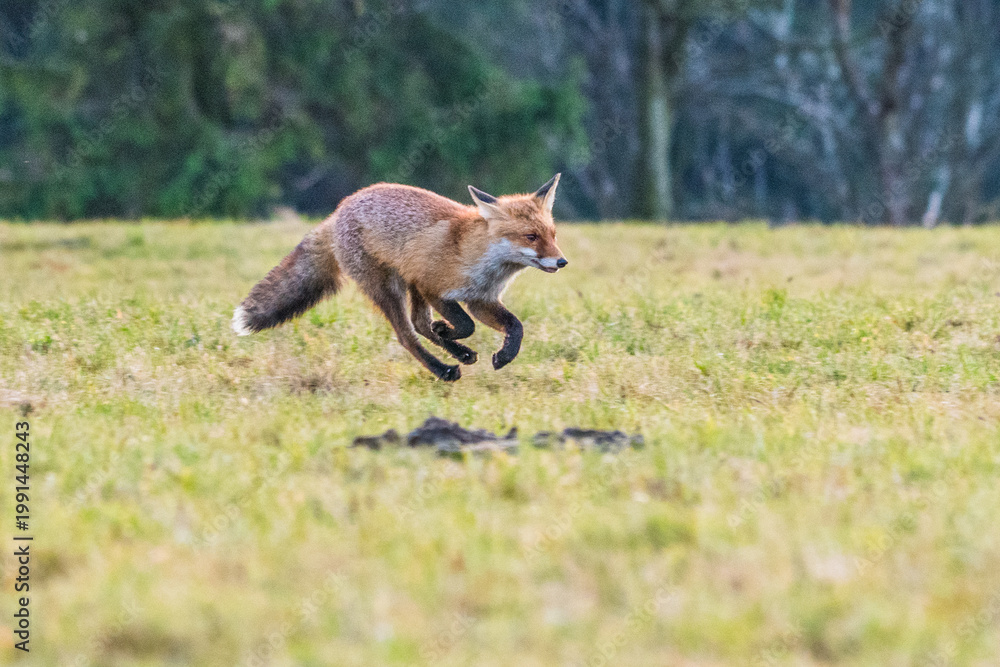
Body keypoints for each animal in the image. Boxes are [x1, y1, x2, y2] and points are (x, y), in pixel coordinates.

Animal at [232, 174, 568, 381]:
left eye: (552, 235)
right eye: (531, 236)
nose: (562, 261)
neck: (476, 257)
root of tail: (340, 208)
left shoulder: (479, 299)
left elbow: (515, 326)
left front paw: (504, 356)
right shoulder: (433, 286)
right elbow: (465, 325)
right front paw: (448, 332)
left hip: (407, 285)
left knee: (418, 323)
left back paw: (459, 353)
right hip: (388, 288)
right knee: (407, 335)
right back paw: (443, 369)